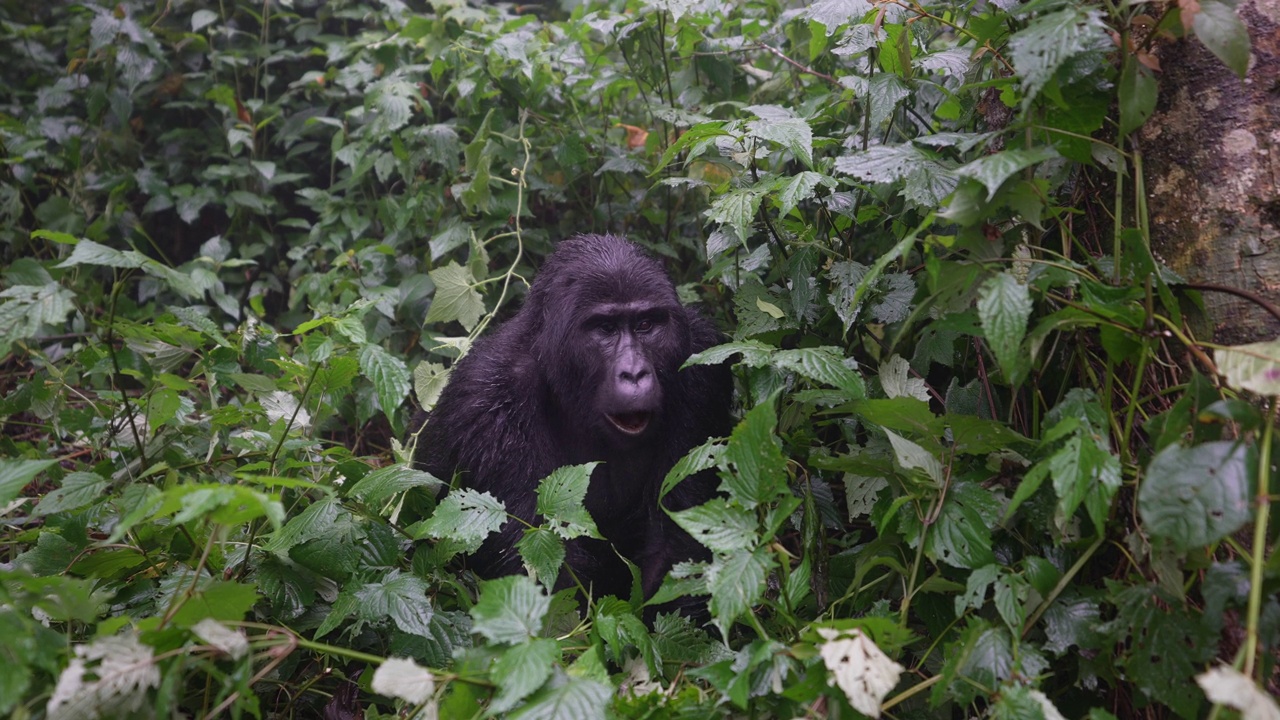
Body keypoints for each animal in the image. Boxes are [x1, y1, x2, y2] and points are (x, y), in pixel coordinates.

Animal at [409, 234, 732, 599]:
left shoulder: (703, 365)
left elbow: (677, 546)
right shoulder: (488, 398)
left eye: (646, 325)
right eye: (605, 328)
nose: (634, 374)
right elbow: (541, 564)